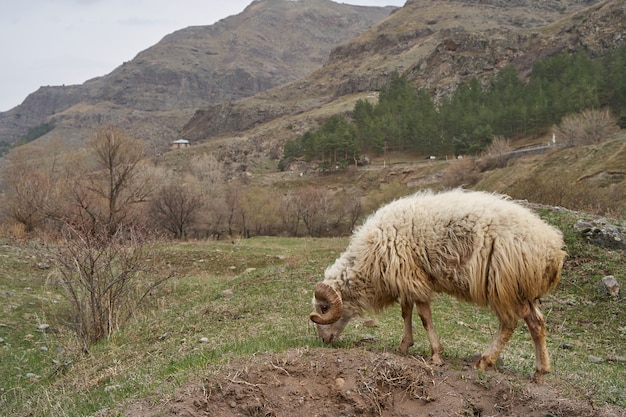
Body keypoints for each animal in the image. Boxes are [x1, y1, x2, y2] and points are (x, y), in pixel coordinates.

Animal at [308, 188, 564, 380]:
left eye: (324, 308)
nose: (324, 340)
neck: (367, 260)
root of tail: (553, 248)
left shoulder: (412, 277)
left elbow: (423, 316)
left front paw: (436, 355)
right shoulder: (406, 278)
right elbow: (406, 312)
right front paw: (404, 345)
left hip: (502, 285)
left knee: (509, 323)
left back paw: (485, 361)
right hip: (523, 289)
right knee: (536, 322)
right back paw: (541, 371)